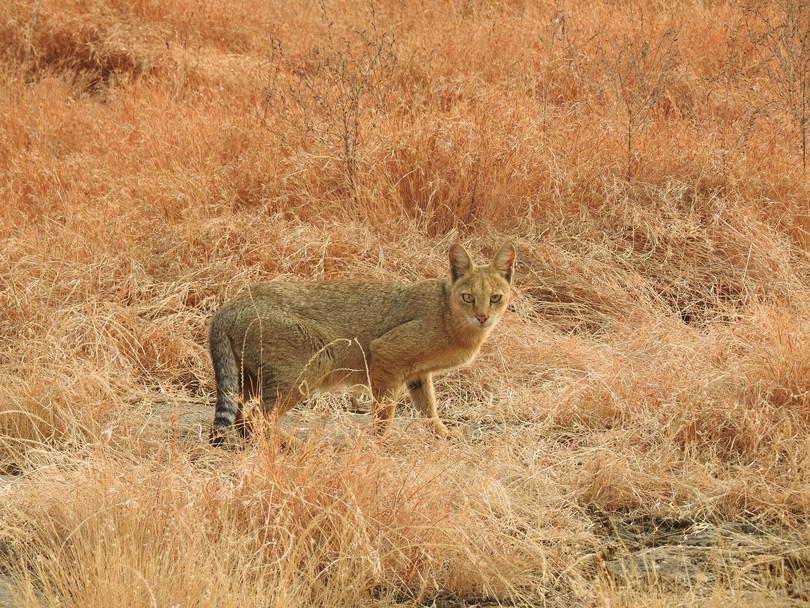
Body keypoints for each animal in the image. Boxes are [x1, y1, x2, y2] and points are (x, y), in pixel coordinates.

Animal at [205, 242, 516, 446]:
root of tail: (230, 305)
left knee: (243, 416)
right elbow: (385, 412)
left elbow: (429, 409)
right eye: (468, 297)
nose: (483, 317)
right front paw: (379, 444)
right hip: (309, 366)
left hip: (249, 377)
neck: (447, 314)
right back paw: (288, 445)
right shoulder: (386, 355)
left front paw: (443, 435)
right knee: (259, 417)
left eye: (496, 298)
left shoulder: (418, 375)